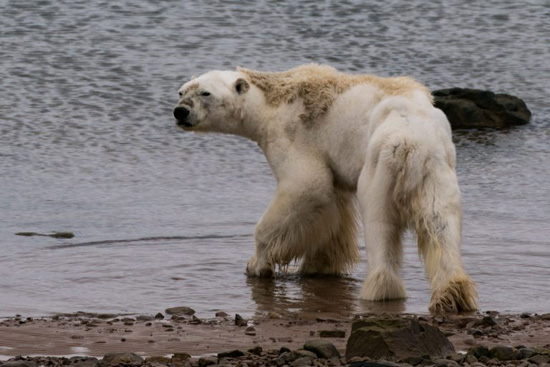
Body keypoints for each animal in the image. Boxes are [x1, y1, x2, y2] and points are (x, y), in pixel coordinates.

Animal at [176, 64, 478, 314]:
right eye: (181, 91)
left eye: (205, 93)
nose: (180, 111)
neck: (272, 101)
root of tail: (412, 143)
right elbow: (333, 210)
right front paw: (321, 263)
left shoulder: (292, 135)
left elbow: (307, 185)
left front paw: (256, 264)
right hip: (438, 170)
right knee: (441, 222)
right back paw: (453, 293)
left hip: (381, 164)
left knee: (380, 222)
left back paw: (380, 291)